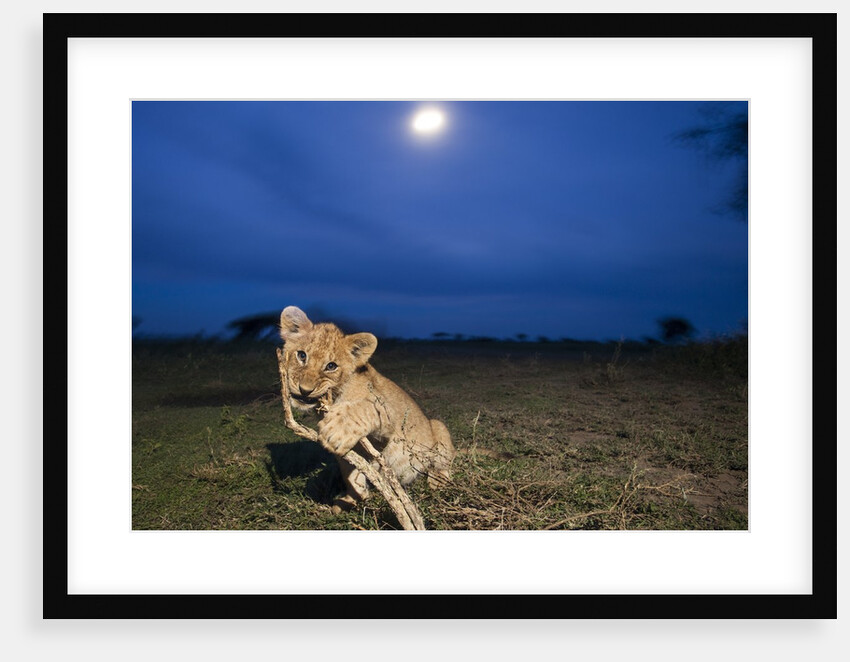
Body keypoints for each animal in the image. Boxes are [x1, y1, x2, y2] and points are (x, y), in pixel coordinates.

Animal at [278, 306, 456, 512]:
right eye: (301, 355)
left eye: (331, 366)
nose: (305, 390)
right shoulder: (351, 452)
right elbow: (351, 473)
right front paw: (352, 499)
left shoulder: (390, 418)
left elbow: (365, 408)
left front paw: (340, 426)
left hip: (438, 427)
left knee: (444, 463)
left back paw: (438, 481)